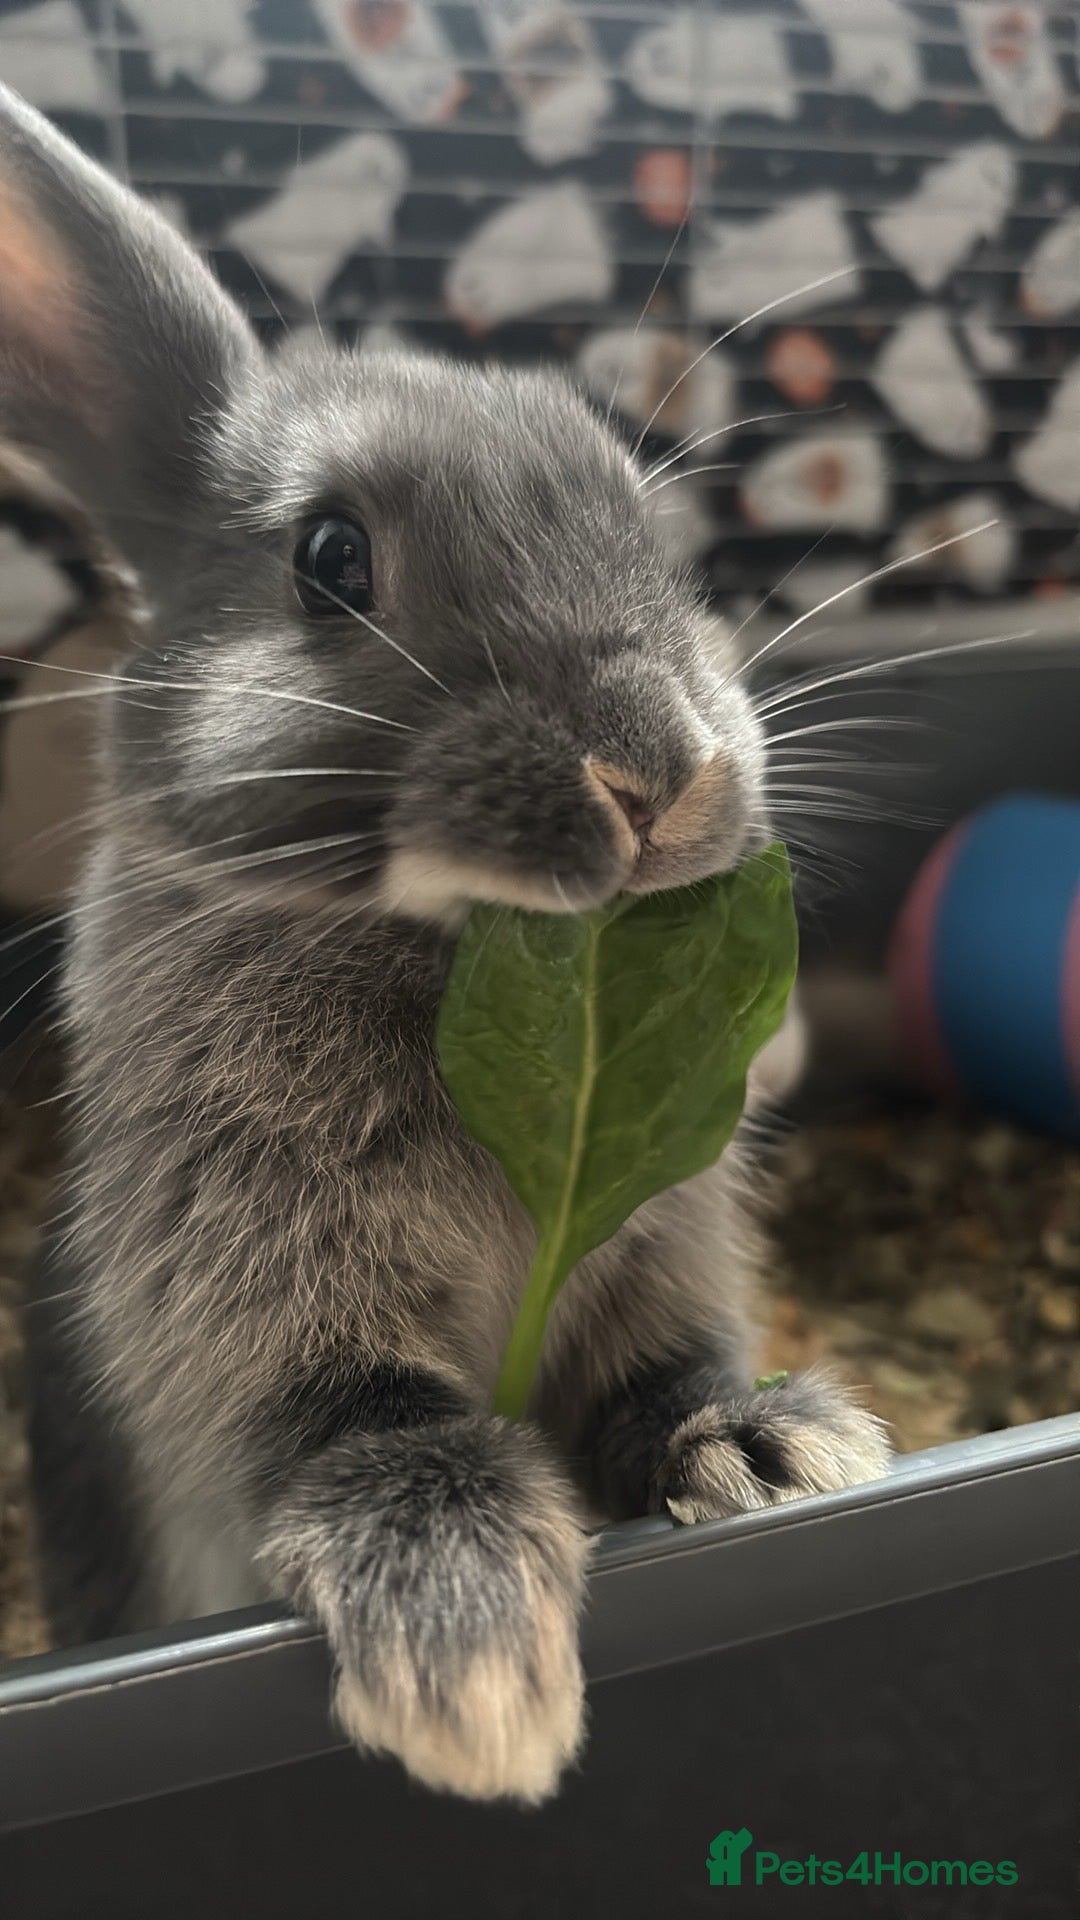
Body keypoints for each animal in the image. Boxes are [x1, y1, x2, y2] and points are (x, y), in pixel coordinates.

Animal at [1, 85, 889, 1805]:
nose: (656, 775)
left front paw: (777, 1449)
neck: (469, 957)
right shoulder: (258, 1291)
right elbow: (367, 1429)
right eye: (330, 560)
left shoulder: (658, 1249)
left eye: (650, 534)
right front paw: (474, 1675)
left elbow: (664, 1375)